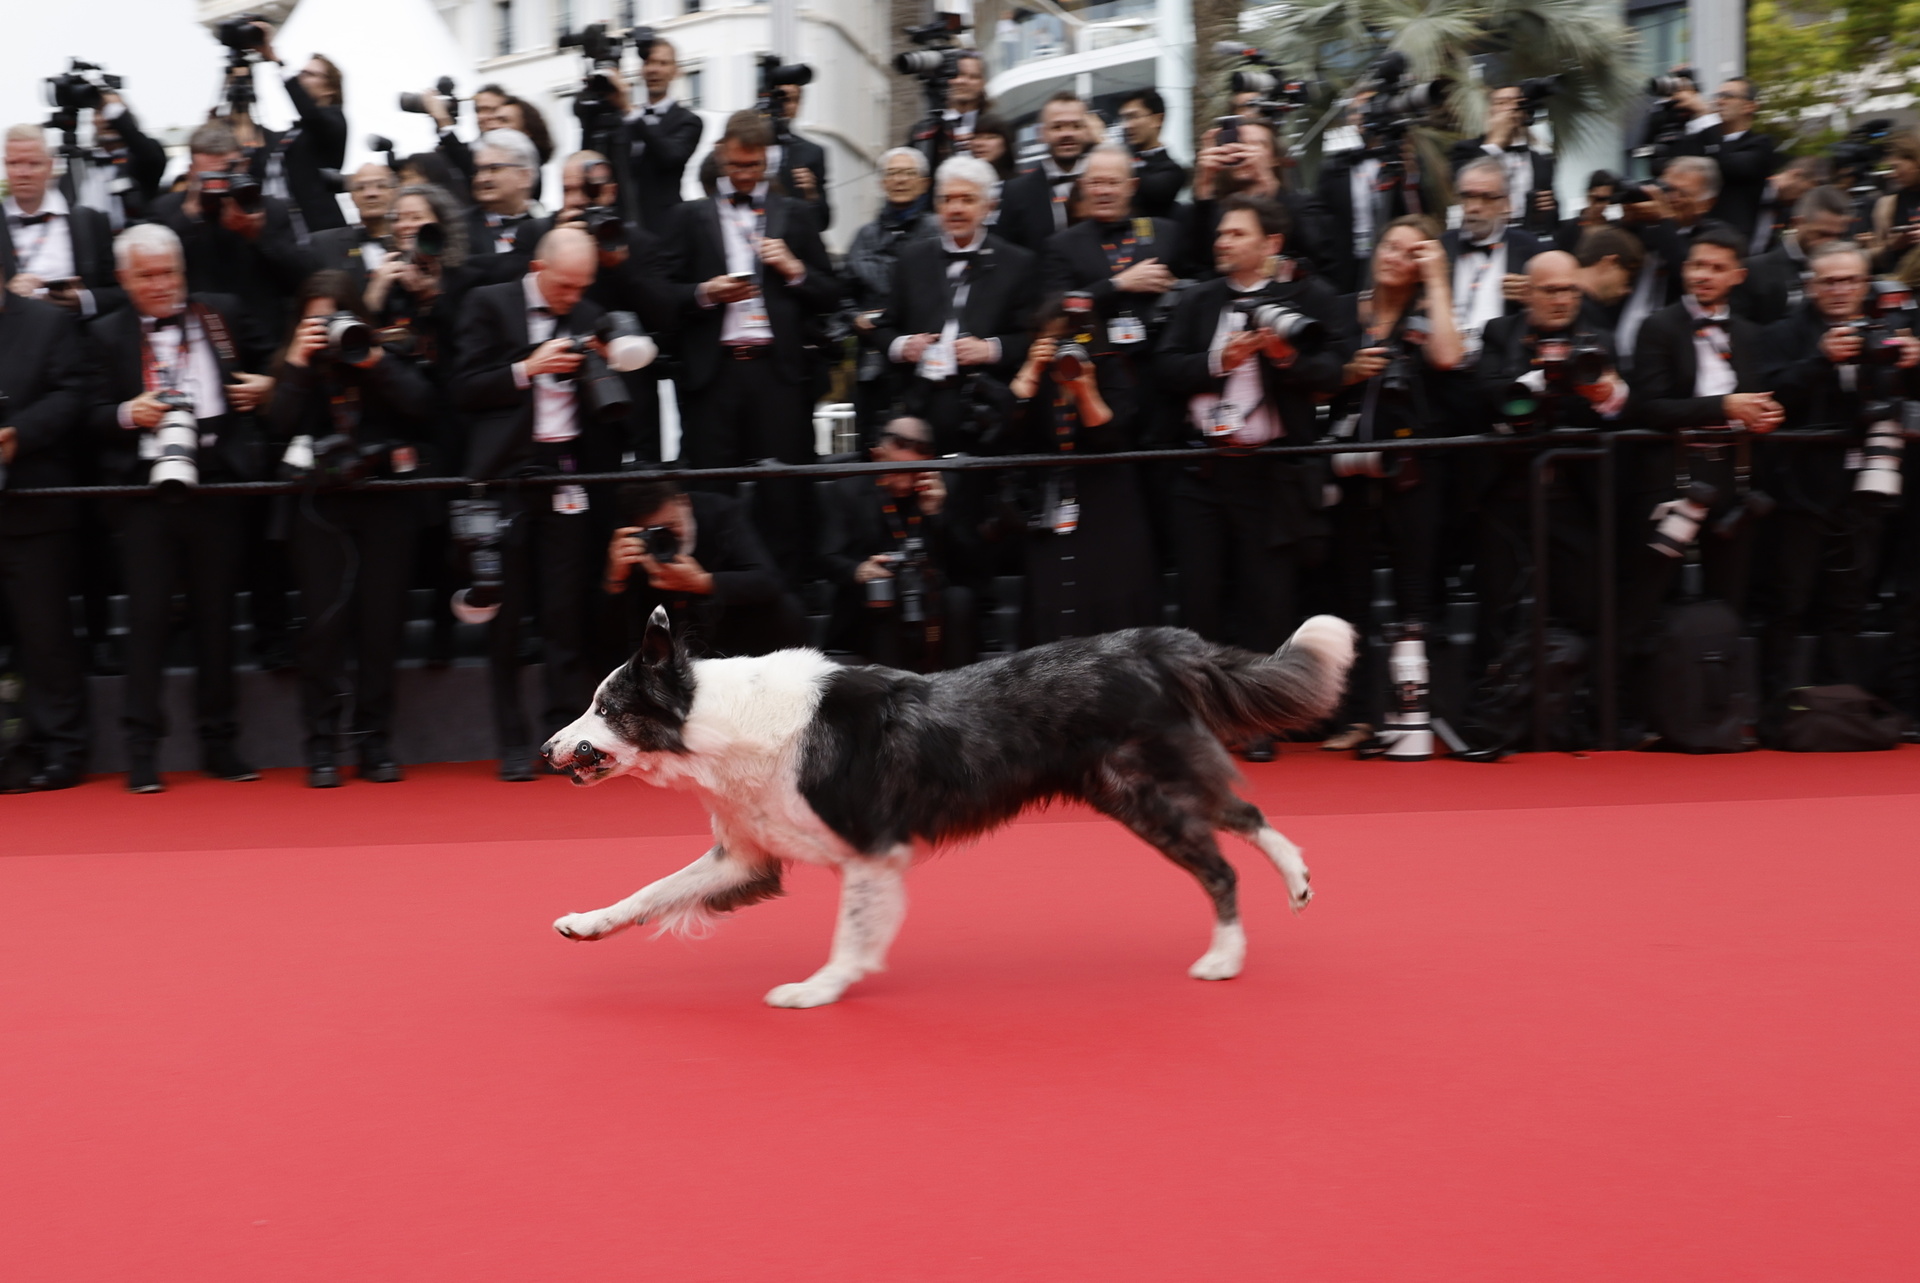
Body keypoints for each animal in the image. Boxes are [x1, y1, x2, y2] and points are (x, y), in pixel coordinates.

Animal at [543, 608, 1356, 1008]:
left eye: (606, 707)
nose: (548, 748)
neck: (714, 722)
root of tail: (1155, 645)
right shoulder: (747, 855)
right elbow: (651, 892)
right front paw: (585, 923)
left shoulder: (871, 851)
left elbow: (850, 935)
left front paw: (818, 989)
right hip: (1137, 792)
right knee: (1242, 818)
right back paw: (1296, 884)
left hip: (1146, 793)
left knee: (1224, 858)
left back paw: (1227, 955)